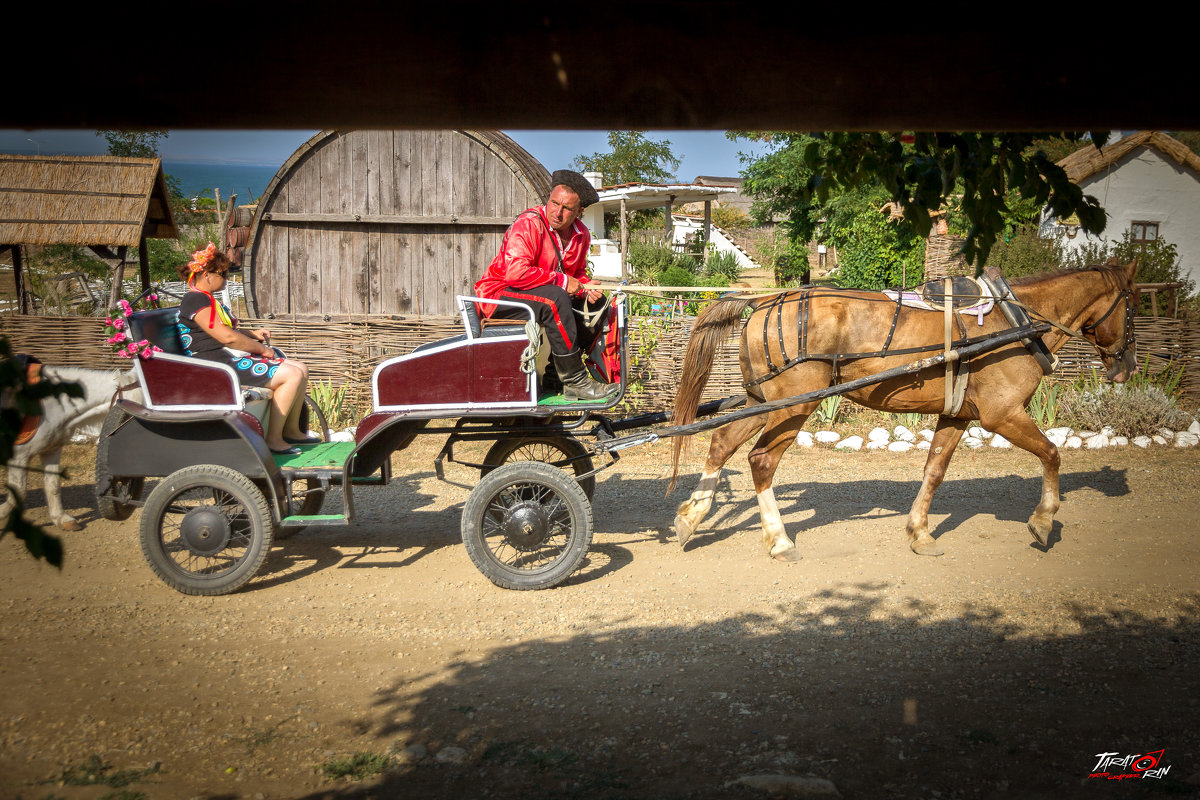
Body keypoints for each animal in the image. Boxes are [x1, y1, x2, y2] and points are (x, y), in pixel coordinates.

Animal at [2, 367, 136, 532]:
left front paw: (61, 519)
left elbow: (53, 485)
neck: (53, 407)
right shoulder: (19, 455)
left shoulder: (51, 450)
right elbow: (19, 491)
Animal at [672, 260, 1137, 561]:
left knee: (721, 443)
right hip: (795, 405)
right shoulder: (1002, 415)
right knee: (762, 460)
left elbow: (934, 470)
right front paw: (1043, 520)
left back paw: (692, 517)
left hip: (761, 401)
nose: (1127, 366)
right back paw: (779, 540)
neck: (1016, 321)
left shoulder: (958, 415)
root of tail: (764, 302)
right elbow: (1052, 454)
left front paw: (920, 532)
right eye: (1133, 307)